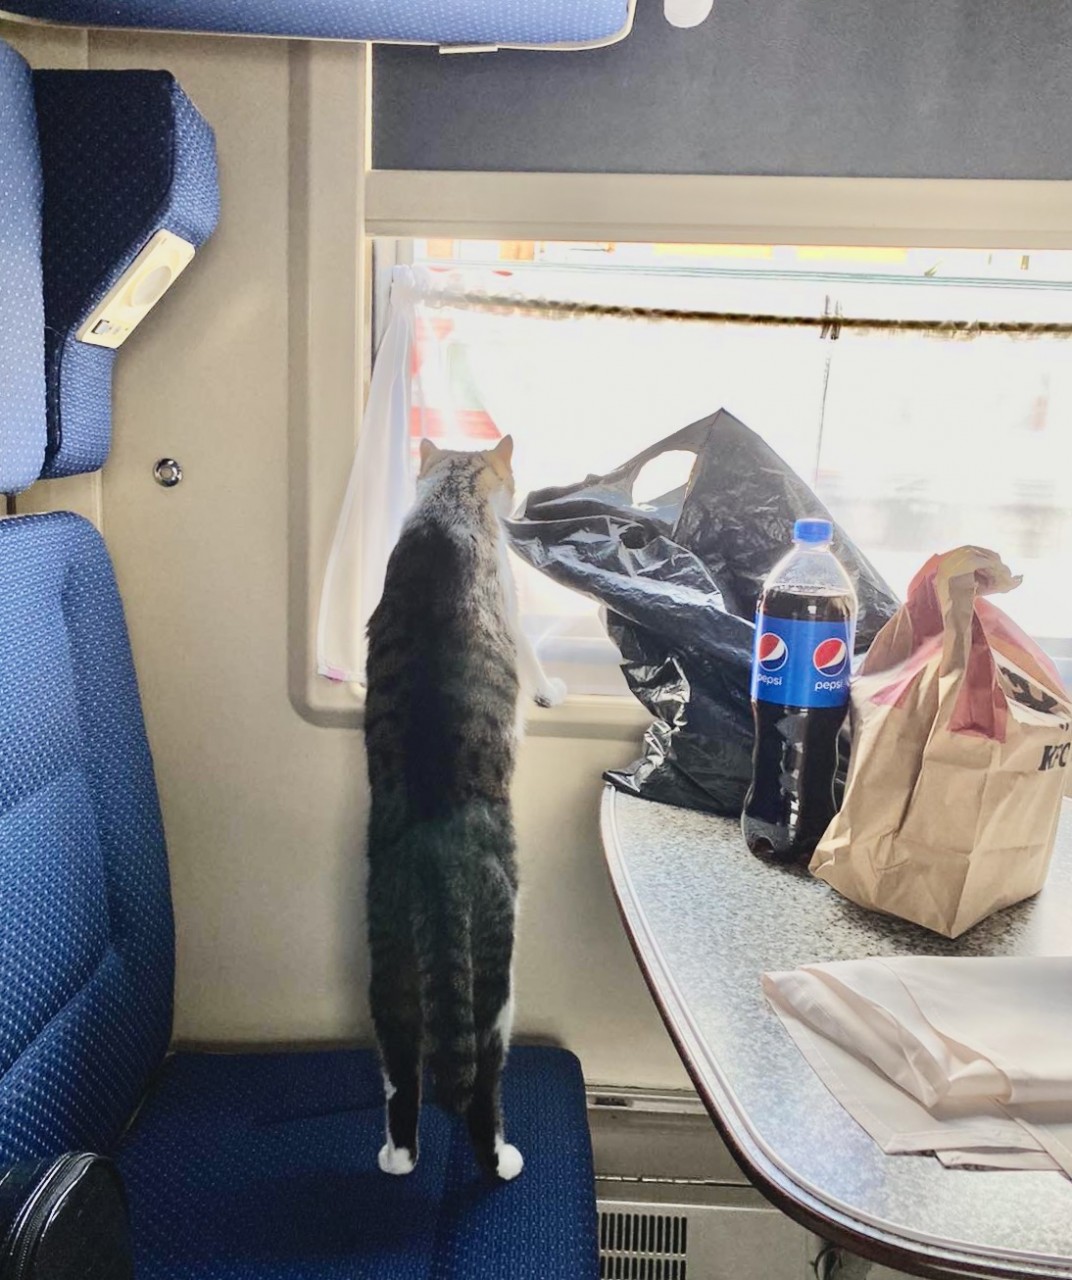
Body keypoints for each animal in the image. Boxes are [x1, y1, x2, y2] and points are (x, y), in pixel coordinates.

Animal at [364, 435, 566, 1182]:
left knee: (401, 1075)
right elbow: (531, 657)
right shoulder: (511, 603)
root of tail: (436, 860)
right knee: (482, 1077)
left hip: (388, 967)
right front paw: (552, 690)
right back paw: (500, 1159)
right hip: (498, 978)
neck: (450, 500)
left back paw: (397, 1158)